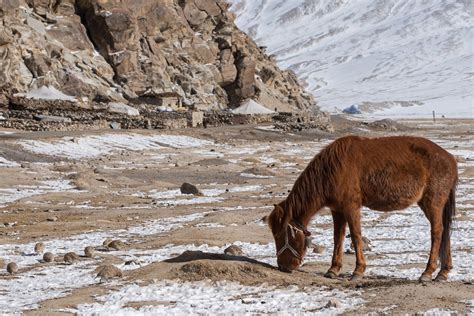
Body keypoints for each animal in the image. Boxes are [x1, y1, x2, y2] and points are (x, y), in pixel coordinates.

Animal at [268, 135, 458, 282]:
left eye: (281, 235)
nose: (282, 266)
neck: (332, 168)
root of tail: (450, 159)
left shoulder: (351, 207)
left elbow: (356, 235)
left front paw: (358, 271)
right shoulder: (337, 210)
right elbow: (338, 237)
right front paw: (333, 270)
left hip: (433, 202)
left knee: (437, 232)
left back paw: (427, 273)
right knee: (445, 232)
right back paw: (443, 273)